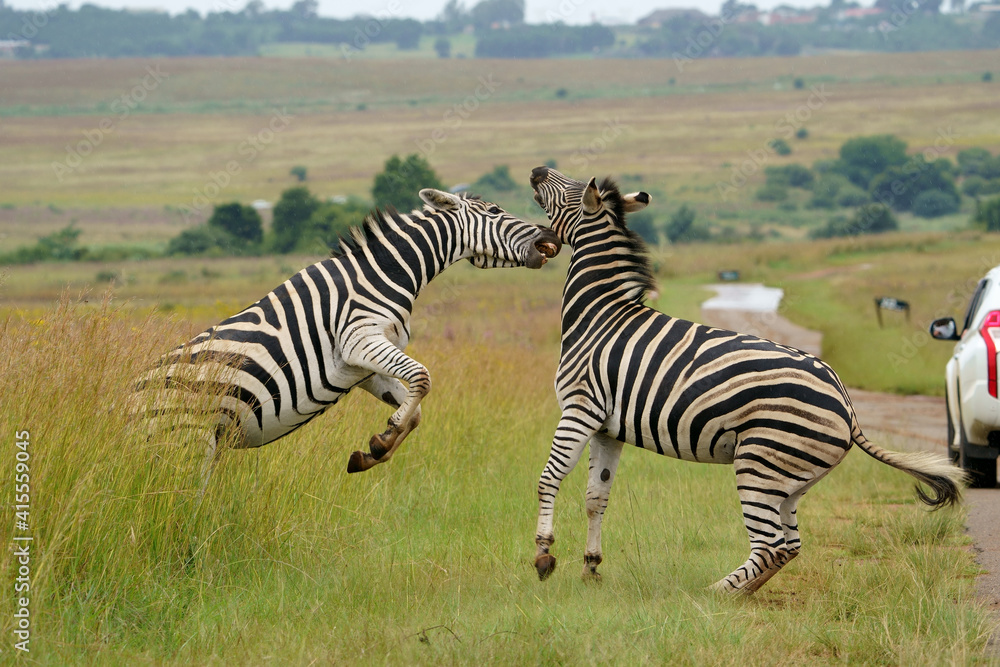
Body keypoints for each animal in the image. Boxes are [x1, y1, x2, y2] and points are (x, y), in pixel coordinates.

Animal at [133, 188, 561, 487]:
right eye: (495, 212)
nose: (551, 236)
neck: (385, 272)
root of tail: (129, 395)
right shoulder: (360, 339)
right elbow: (423, 379)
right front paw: (383, 439)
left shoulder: (364, 365)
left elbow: (414, 410)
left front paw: (376, 448)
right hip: (186, 442)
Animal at [527, 165, 964, 594]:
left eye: (570, 187)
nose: (536, 170)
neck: (600, 316)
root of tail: (847, 404)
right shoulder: (607, 428)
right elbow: (596, 497)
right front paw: (591, 569)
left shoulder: (581, 408)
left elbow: (549, 477)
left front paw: (544, 555)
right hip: (790, 478)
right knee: (789, 545)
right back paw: (739, 592)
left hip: (759, 465)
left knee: (770, 544)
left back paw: (716, 593)